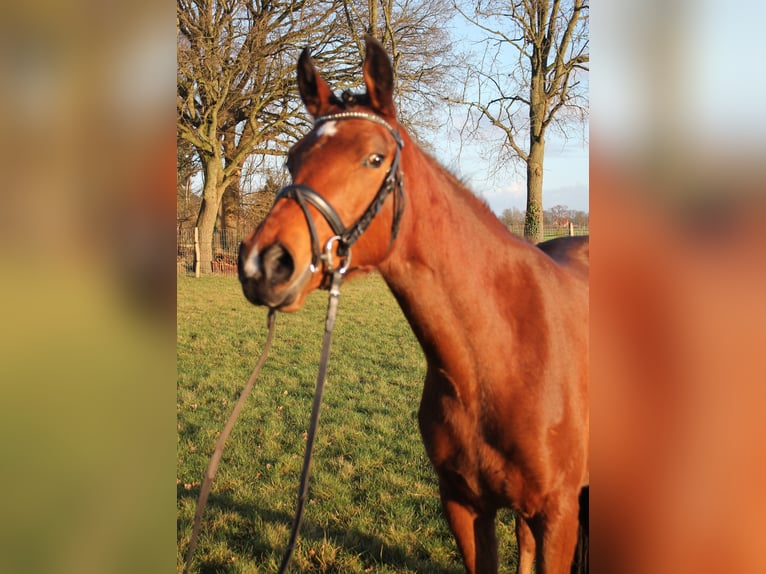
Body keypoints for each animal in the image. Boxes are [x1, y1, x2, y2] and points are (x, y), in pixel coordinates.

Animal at [237, 37, 592, 574]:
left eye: (374, 158)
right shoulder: (465, 506)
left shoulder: (558, 514)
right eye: (293, 159)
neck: (499, 360)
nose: (265, 264)